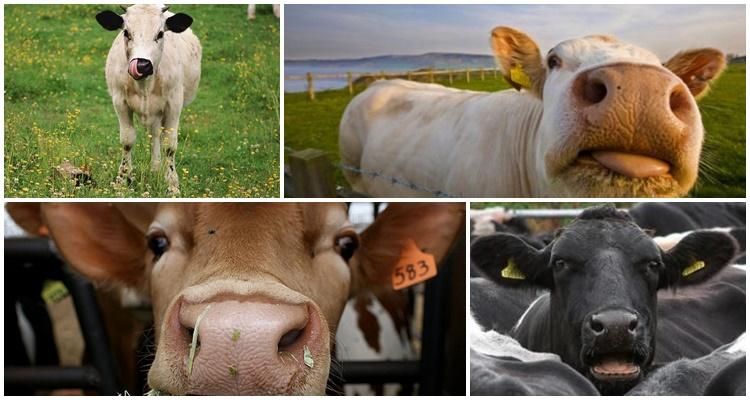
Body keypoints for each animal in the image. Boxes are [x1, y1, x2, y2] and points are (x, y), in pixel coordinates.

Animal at [96, 5, 202, 195]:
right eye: (126, 32)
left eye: (160, 33)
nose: (142, 65)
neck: (144, 84)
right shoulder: (119, 101)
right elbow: (127, 140)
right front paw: (122, 179)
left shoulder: (174, 103)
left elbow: (169, 144)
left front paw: (172, 184)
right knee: (154, 134)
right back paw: (154, 167)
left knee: (157, 136)